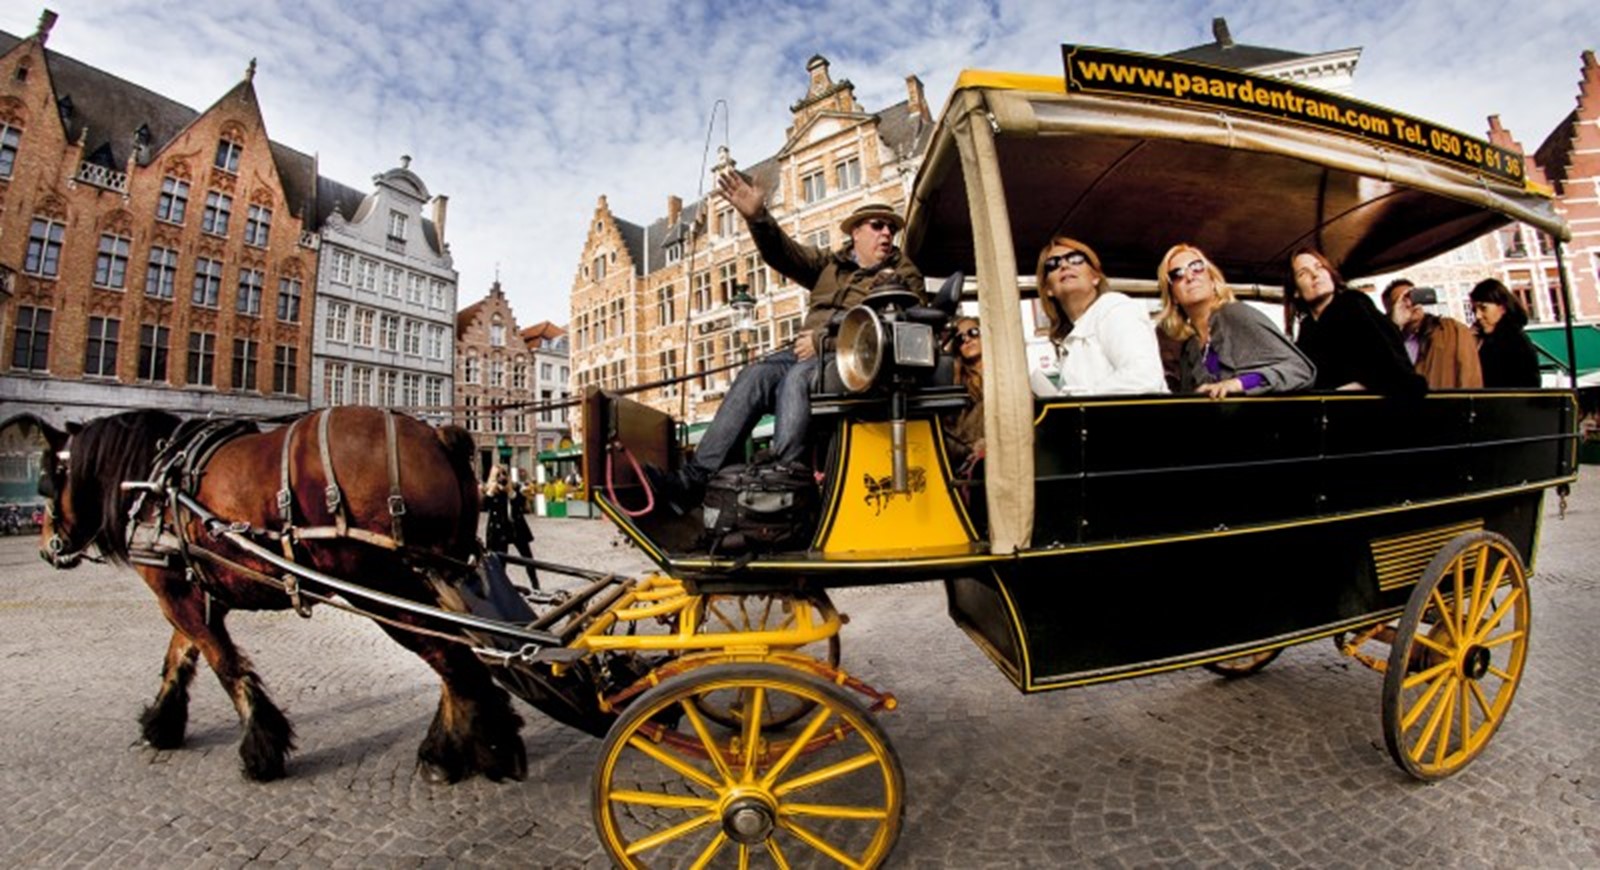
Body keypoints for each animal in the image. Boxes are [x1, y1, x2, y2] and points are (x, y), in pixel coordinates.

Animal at [26, 406, 524, 780]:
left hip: (384, 589)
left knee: (452, 660)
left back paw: (465, 751)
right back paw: (467, 744)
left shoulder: (172, 592)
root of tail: (439, 436)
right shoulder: (197, 592)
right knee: (457, 657)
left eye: (48, 479)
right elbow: (179, 659)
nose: (47, 547)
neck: (153, 482)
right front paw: (160, 724)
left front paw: (261, 749)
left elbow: (224, 665)